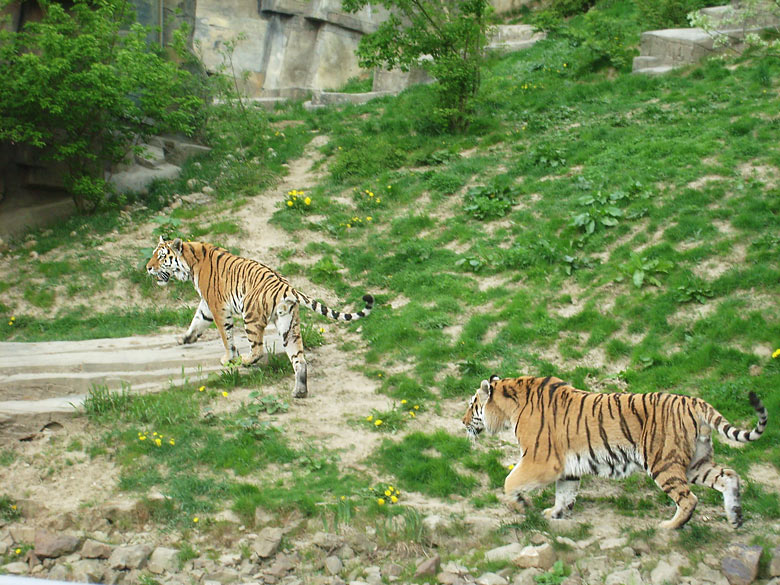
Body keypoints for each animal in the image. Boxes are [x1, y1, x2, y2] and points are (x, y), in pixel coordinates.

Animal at [149, 236, 374, 396]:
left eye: (161, 256)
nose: (148, 267)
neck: (190, 262)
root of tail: (287, 287)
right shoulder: (206, 305)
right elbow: (197, 321)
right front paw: (185, 339)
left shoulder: (218, 307)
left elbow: (226, 337)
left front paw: (228, 359)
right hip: (288, 326)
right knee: (299, 359)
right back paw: (299, 391)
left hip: (251, 317)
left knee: (258, 350)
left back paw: (245, 361)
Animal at [464, 374, 768, 528]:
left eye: (472, 404)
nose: (462, 422)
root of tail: (694, 401)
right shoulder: (567, 467)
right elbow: (565, 493)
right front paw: (555, 514)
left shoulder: (541, 460)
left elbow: (509, 481)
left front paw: (522, 505)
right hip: (696, 462)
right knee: (729, 475)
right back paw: (735, 517)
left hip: (663, 462)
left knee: (689, 499)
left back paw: (668, 528)